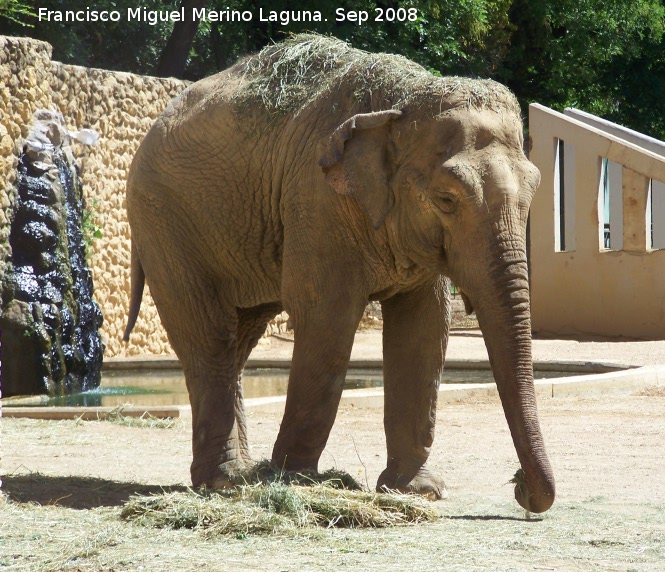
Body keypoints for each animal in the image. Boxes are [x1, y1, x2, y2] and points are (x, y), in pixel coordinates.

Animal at [123, 33, 556, 512]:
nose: (519, 487)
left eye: (534, 190)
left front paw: (416, 491)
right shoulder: (317, 202)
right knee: (209, 337)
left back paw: (239, 476)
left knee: (238, 337)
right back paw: (226, 481)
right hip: (163, 223)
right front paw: (295, 481)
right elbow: (327, 319)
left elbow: (424, 328)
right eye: (446, 199)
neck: (401, 99)